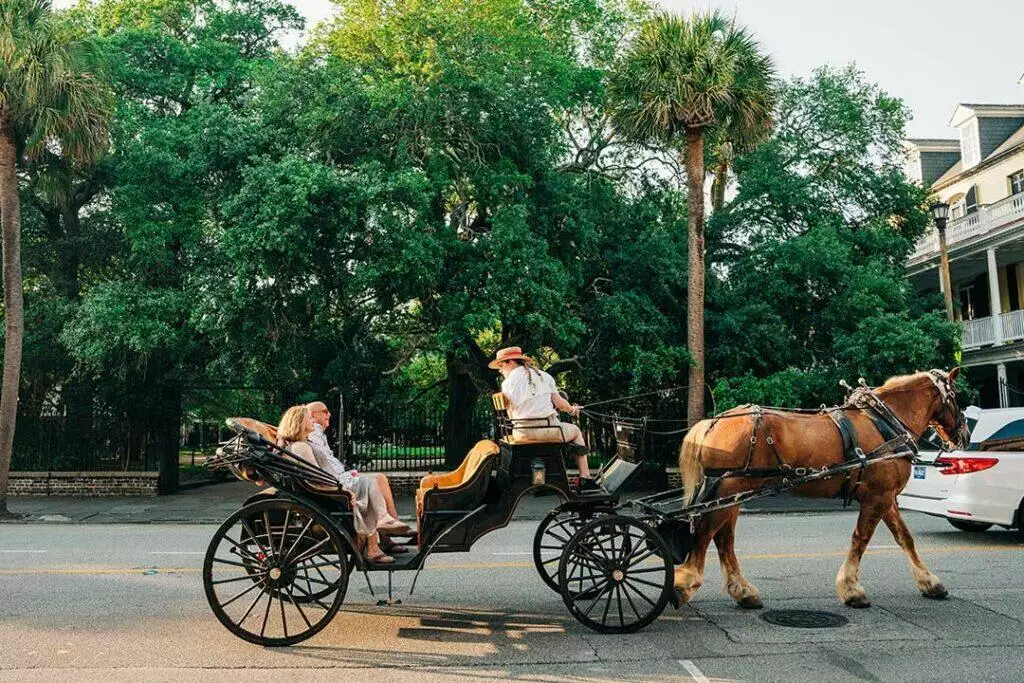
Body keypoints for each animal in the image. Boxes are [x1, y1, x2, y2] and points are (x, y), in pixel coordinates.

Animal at [671, 370, 966, 610]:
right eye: (956, 396)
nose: (963, 434)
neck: (884, 422)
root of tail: (712, 422)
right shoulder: (877, 496)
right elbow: (861, 538)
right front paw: (852, 590)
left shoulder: (886, 497)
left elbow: (905, 538)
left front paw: (930, 582)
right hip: (730, 490)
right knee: (706, 535)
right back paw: (685, 584)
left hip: (732, 494)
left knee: (724, 540)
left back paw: (743, 592)